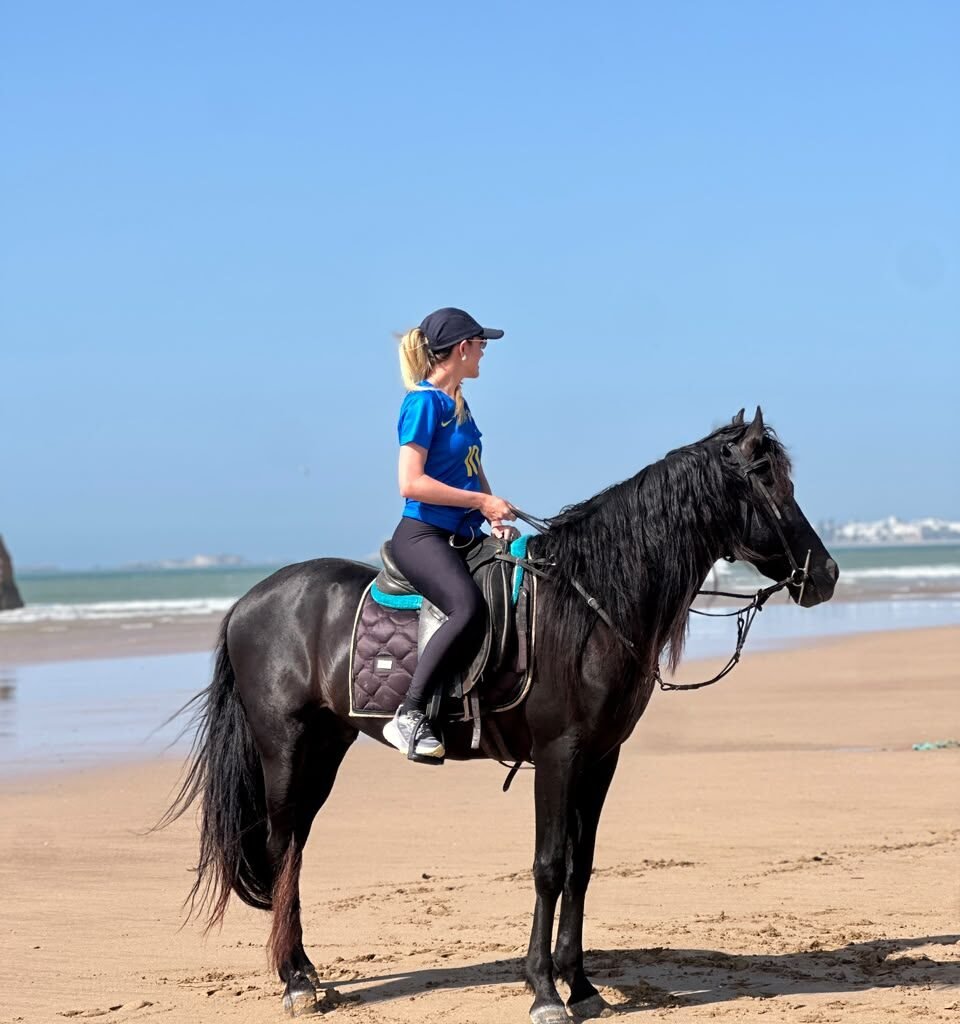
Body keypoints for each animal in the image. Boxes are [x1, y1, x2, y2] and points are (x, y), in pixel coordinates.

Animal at [164, 407, 838, 1023]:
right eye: (767, 478)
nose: (827, 575)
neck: (589, 602)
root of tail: (249, 601)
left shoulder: (601, 757)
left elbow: (582, 866)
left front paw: (581, 986)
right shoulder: (559, 753)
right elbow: (550, 866)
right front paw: (544, 991)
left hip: (326, 747)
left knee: (297, 845)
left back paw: (304, 969)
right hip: (285, 745)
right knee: (282, 845)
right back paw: (294, 981)